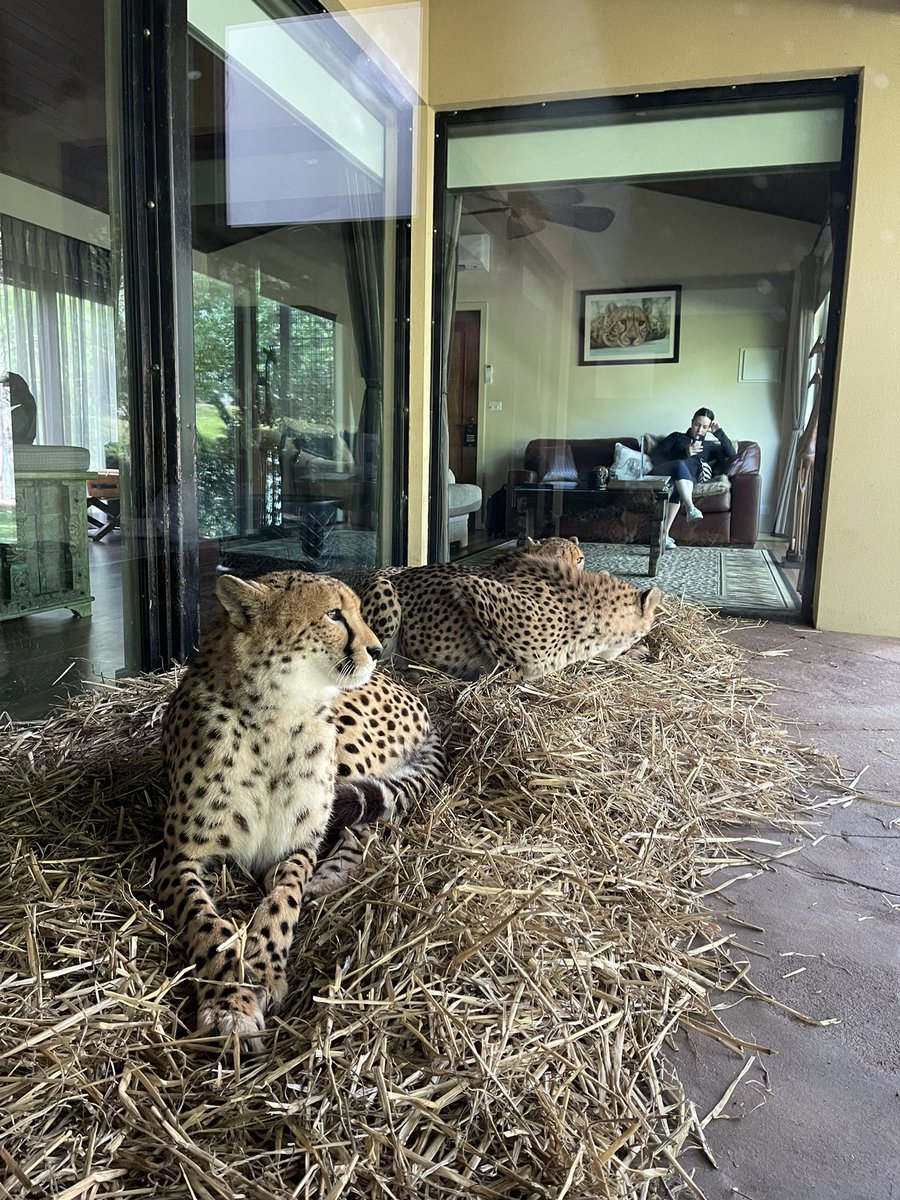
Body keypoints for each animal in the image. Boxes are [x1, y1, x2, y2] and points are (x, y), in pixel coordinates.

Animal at [160, 566, 448, 1046]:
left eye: (357, 610)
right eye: (334, 615)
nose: (375, 650)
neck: (273, 715)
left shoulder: (298, 845)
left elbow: (284, 900)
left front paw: (263, 970)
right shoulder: (177, 857)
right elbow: (208, 925)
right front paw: (230, 1002)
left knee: (365, 825)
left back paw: (327, 877)